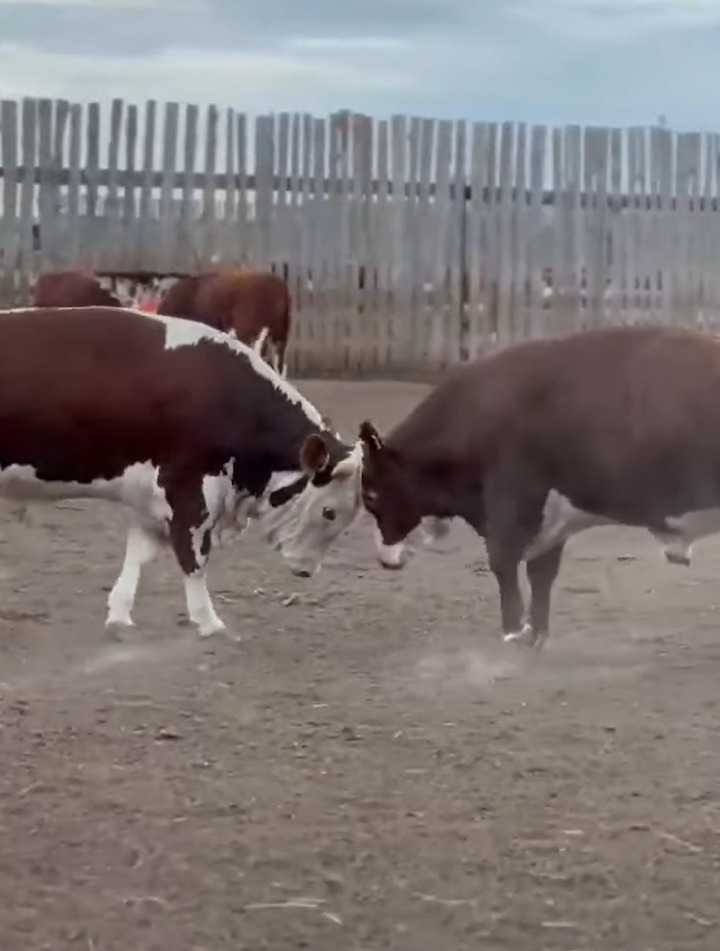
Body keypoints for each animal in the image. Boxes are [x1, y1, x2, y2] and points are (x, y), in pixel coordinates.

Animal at [0, 306, 362, 640]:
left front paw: (119, 615)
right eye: (329, 512)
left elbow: (139, 554)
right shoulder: (190, 490)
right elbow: (194, 559)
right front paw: (209, 623)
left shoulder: (148, 496)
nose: (306, 570)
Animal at [358, 324, 720, 652]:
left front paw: (513, 634)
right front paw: (535, 634)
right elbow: (541, 573)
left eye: (371, 495)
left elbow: (504, 563)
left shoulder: (513, 503)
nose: (385, 561)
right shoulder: (552, 519)